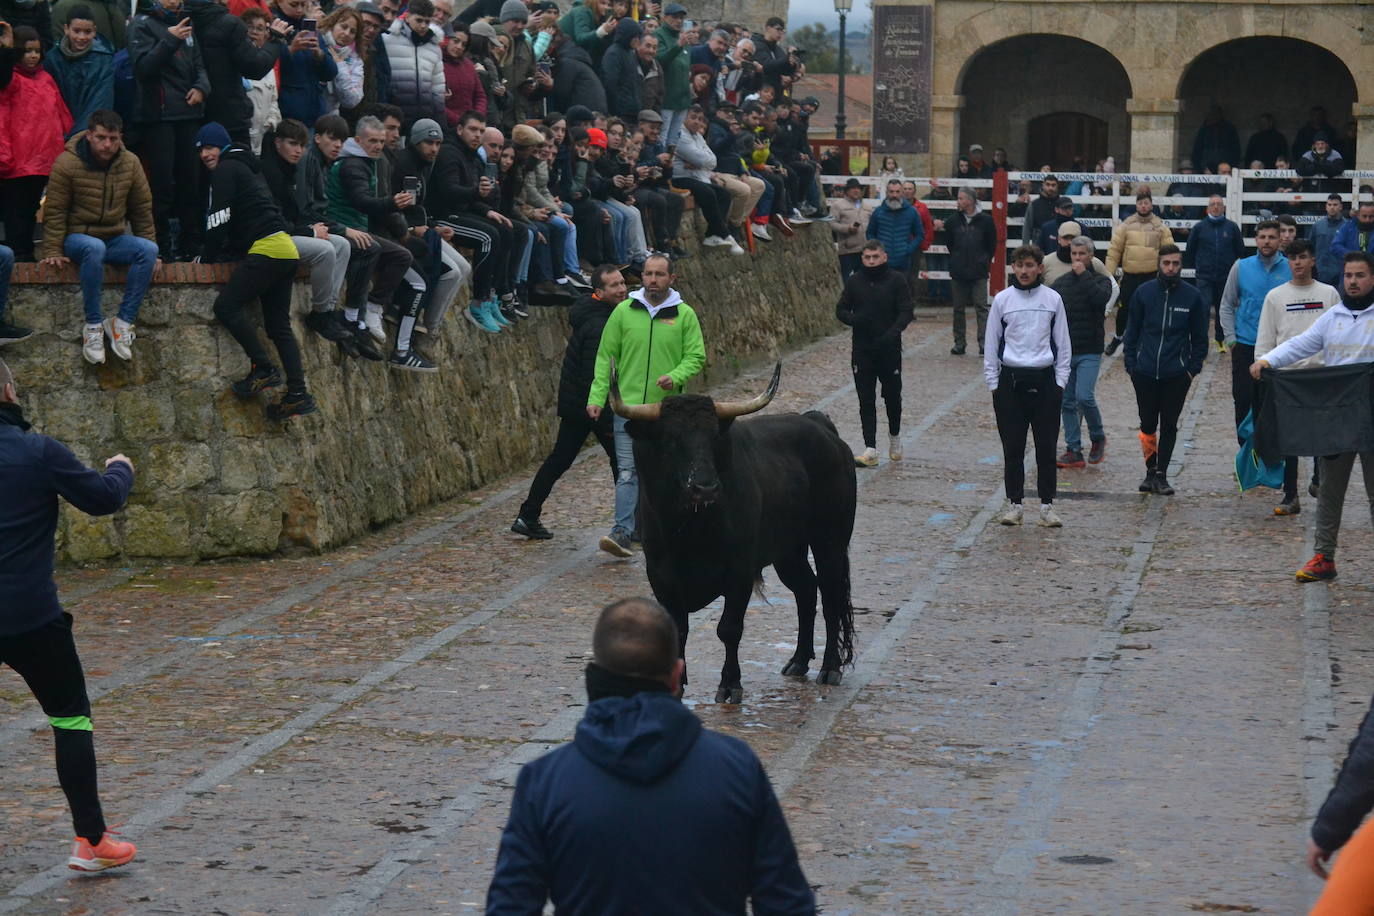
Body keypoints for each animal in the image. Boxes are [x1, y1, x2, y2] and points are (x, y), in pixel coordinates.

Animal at [615, 362, 857, 703]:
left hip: (830, 541)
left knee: (831, 595)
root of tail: (820, 427)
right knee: (806, 590)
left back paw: (830, 668)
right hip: (788, 551)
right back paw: (798, 660)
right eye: (671, 439)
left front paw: (730, 685)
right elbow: (678, 630)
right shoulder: (661, 576)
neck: (690, 531)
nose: (705, 487)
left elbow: (729, 629)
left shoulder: (739, 571)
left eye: (713, 436)